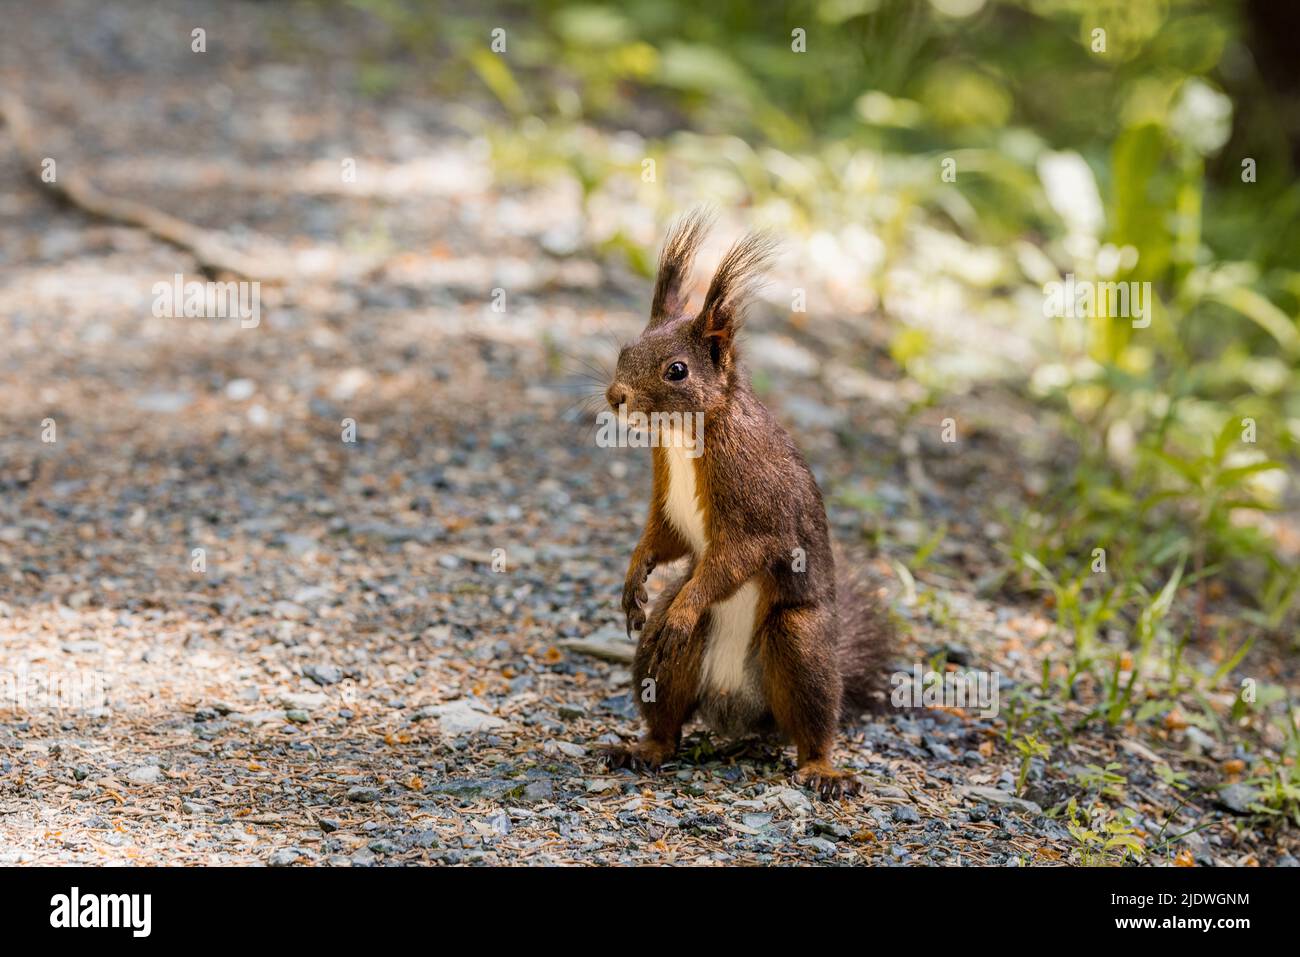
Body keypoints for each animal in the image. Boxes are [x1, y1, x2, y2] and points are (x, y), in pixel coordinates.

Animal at [598, 210, 894, 800]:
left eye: (677, 371)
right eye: (625, 351)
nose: (617, 397)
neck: (685, 436)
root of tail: (737, 710)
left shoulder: (755, 504)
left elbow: (736, 555)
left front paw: (674, 595)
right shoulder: (667, 503)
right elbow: (662, 539)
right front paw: (632, 578)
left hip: (800, 642)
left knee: (813, 725)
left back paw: (823, 770)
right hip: (662, 667)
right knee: (667, 718)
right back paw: (642, 748)